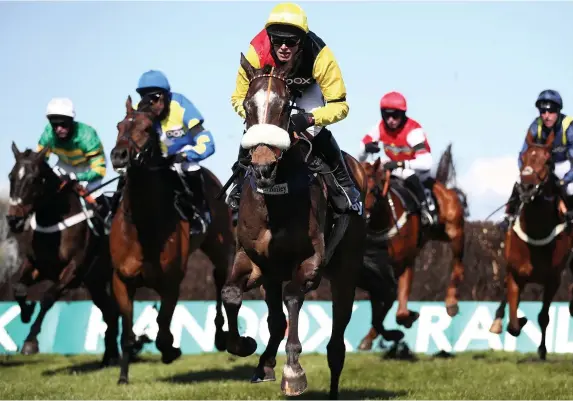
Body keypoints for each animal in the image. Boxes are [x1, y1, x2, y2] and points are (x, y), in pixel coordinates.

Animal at [5, 142, 122, 364]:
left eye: (34, 179)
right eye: (11, 176)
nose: (14, 220)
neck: (55, 224)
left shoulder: (73, 270)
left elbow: (48, 297)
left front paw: (30, 342)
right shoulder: (36, 265)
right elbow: (18, 288)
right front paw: (26, 312)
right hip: (95, 282)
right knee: (109, 311)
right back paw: (110, 357)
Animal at [107, 97, 232, 384]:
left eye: (146, 128)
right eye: (119, 125)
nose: (119, 155)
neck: (143, 225)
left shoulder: (172, 282)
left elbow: (163, 327)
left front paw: (170, 350)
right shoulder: (122, 280)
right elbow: (128, 333)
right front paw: (123, 377)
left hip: (220, 246)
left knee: (221, 279)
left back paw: (223, 336)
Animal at [219, 54, 366, 398]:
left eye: (286, 106)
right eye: (248, 105)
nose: (262, 166)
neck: (275, 198)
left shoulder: (311, 262)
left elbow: (293, 299)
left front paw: (294, 372)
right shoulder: (252, 259)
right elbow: (230, 293)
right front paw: (244, 345)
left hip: (345, 273)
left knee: (336, 345)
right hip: (272, 274)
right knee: (276, 320)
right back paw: (264, 363)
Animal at [358, 147, 470, 350]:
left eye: (373, 189)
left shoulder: (405, 265)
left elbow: (398, 311)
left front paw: (409, 318)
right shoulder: (376, 274)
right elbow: (378, 313)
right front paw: (371, 337)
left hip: (454, 231)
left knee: (458, 264)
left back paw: (451, 302)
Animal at [488, 132, 572, 360]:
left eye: (548, 161)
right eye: (523, 157)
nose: (526, 188)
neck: (536, 232)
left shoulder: (554, 279)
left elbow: (544, 317)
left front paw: (542, 350)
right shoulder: (516, 274)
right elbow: (513, 323)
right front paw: (518, 320)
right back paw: (497, 320)